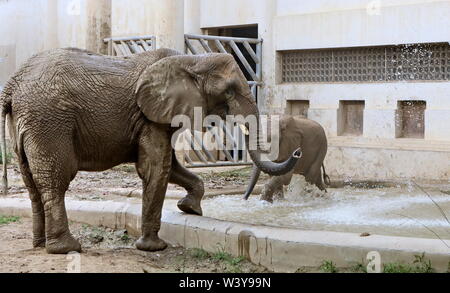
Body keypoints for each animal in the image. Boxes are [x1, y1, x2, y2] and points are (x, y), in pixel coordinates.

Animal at [1, 48, 300, 253]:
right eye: (228, 91)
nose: (297, 153)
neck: (190, 60)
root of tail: (11, 86)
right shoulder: (150, 117)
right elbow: (157, 167)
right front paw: (154, 247)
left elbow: (172, 167)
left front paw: (190, 209)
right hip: (48, 121)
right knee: (55, 180)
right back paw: (67, 248)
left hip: (26, 123)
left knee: (31, 182)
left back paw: (40, 244)